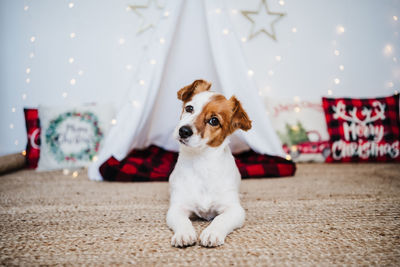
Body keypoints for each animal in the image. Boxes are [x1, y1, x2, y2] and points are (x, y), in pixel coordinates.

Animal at [167, 79, 252, 249]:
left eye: (214, 121)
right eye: (189, 108)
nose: (183, 131)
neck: (202, 163)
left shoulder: (234, 210)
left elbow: (221, 219)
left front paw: (212, 232)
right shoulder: (177, 207)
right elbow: (182, 220)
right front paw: (184, 234)